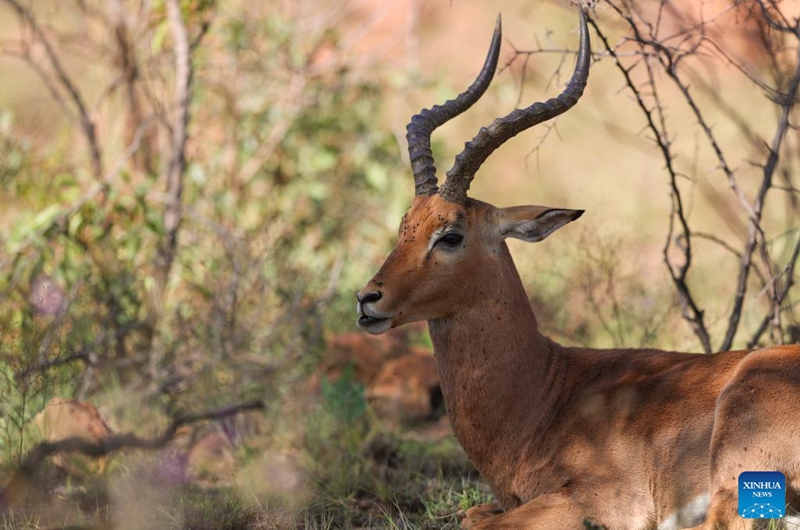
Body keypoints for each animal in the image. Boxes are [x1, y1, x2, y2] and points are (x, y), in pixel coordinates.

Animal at [356, 9, 800, 530]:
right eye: (404, 225)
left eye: (450, 234)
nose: (368, 299)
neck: (546, 395)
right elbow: (475, 513)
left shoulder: (596, 501)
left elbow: (480, 520)